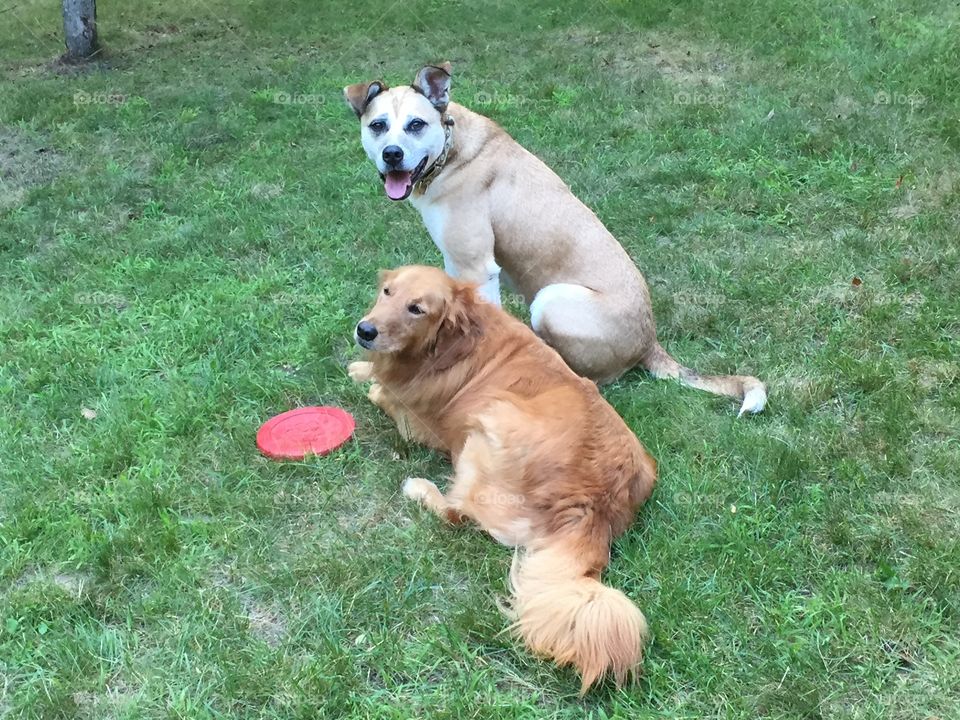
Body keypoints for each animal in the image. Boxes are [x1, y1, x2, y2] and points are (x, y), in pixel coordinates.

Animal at [344, 67, 764, 416]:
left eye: (416, 124)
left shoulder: (476, 266)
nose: (392, 155)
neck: (450, 150)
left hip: (552, 301)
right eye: (378, 126)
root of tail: (650, 342)